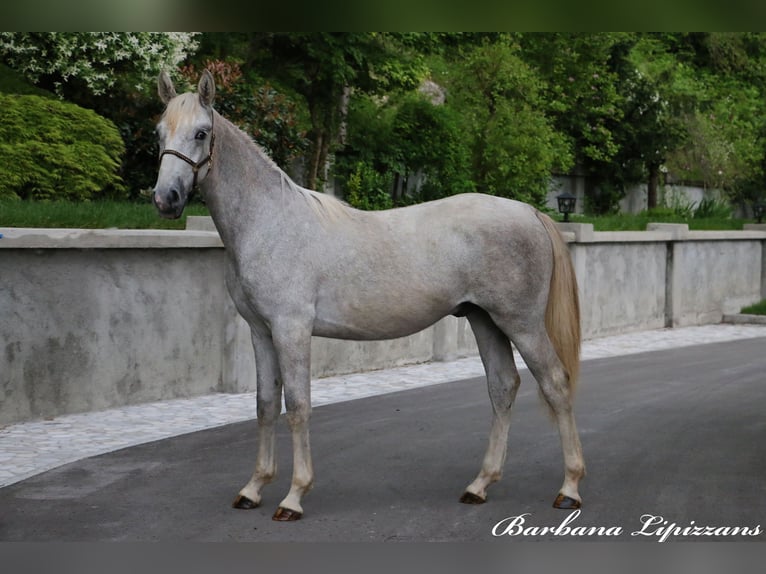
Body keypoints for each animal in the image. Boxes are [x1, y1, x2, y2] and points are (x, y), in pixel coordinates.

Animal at [152, 71, 588, 520]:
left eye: (201, 133)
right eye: (159, 133)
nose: (166, 199)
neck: (270, 223)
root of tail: (529, 212)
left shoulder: (292, 330)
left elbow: (298, 405)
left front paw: (294, 496)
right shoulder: (261, 331)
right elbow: (266, 404)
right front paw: (254, 488)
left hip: (522, 323)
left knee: (555, 383)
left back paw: (569, 488)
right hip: (484, 320)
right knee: (503, 387)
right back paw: (479, 485)